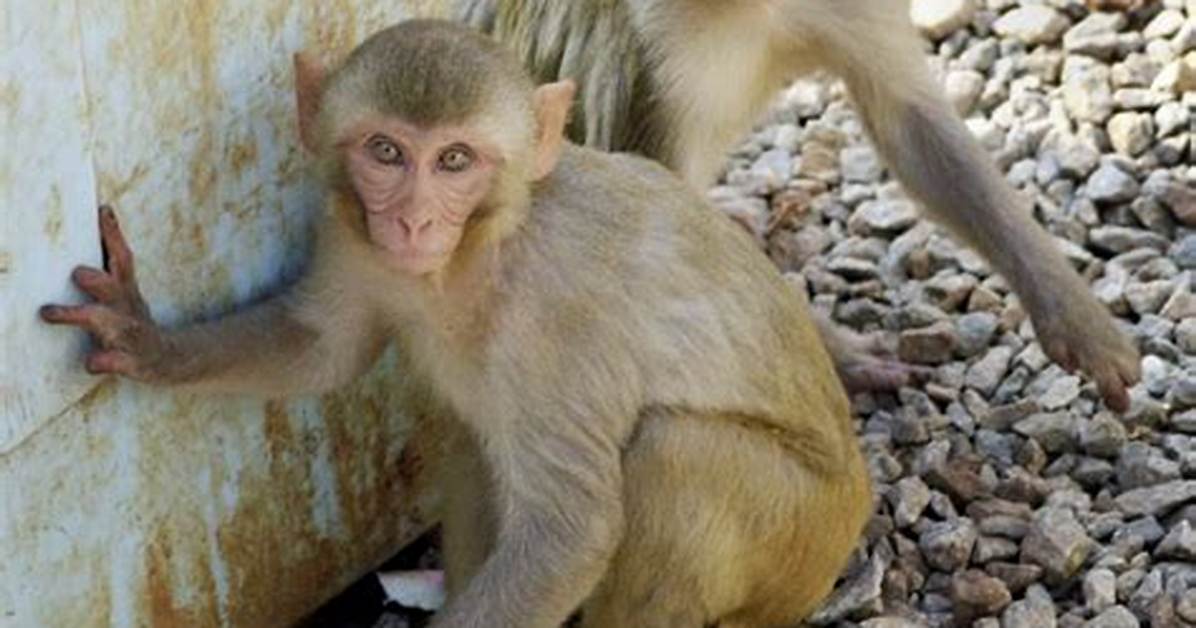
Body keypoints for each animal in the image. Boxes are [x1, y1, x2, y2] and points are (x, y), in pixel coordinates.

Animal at [43, 20, 872, 628]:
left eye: (454, 160)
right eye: (385, 151)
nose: (412, 220)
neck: (477, 254)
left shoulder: (559, 328)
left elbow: (569, 533)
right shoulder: (356, 240)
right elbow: (322, 351)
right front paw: (145, 341)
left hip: (794, 536)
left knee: (676, 457)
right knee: (476, 446)